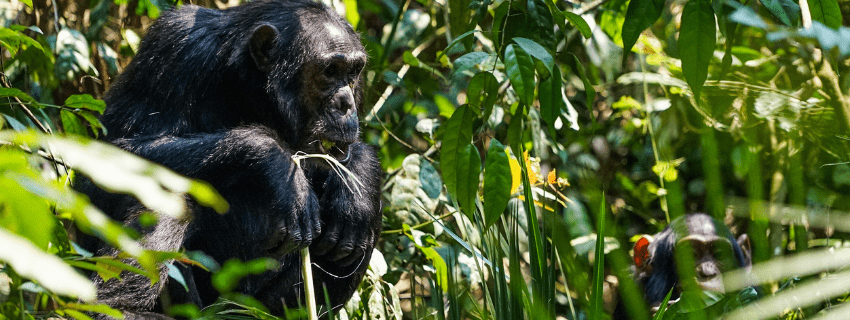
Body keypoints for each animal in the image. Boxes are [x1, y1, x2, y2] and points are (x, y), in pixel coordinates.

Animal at [76, 0, 380, 318]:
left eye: (353, 71)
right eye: (330, 71)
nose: (346, 103)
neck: (249, 86)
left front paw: (357, 185)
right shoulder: (173, 46)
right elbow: (107, 158)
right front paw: (274, 161)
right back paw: (119, 308)